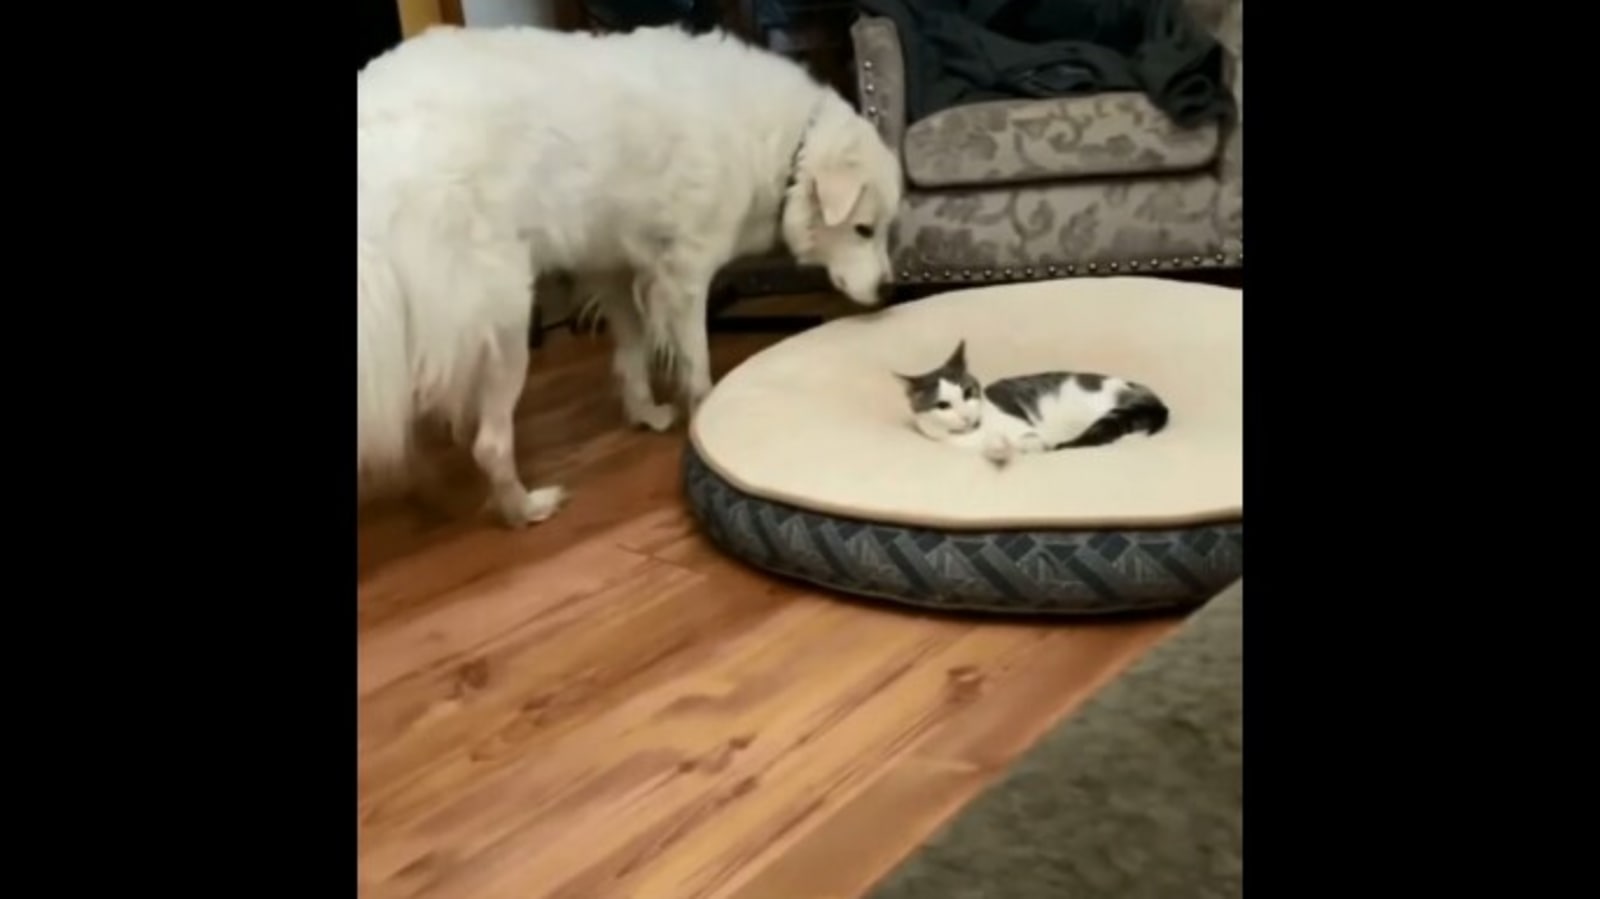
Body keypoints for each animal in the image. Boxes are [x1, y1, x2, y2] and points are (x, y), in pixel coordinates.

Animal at [360, 22, 902, 524]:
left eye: (881, 230)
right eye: (863, 229)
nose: (888, 290)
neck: (790, 145)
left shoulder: (615, 271)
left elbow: (632, 355)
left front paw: (646, 414)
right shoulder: (685, 275)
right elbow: (696, 365)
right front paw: (704, 419)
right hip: (506, 322)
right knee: (489, 444)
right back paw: (526, 509)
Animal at [896, 335, 1171, 460]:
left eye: (968, 392)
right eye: (942, 405)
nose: (966, 417)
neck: (976, 434)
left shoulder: (1028, 431)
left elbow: (1029, 442)